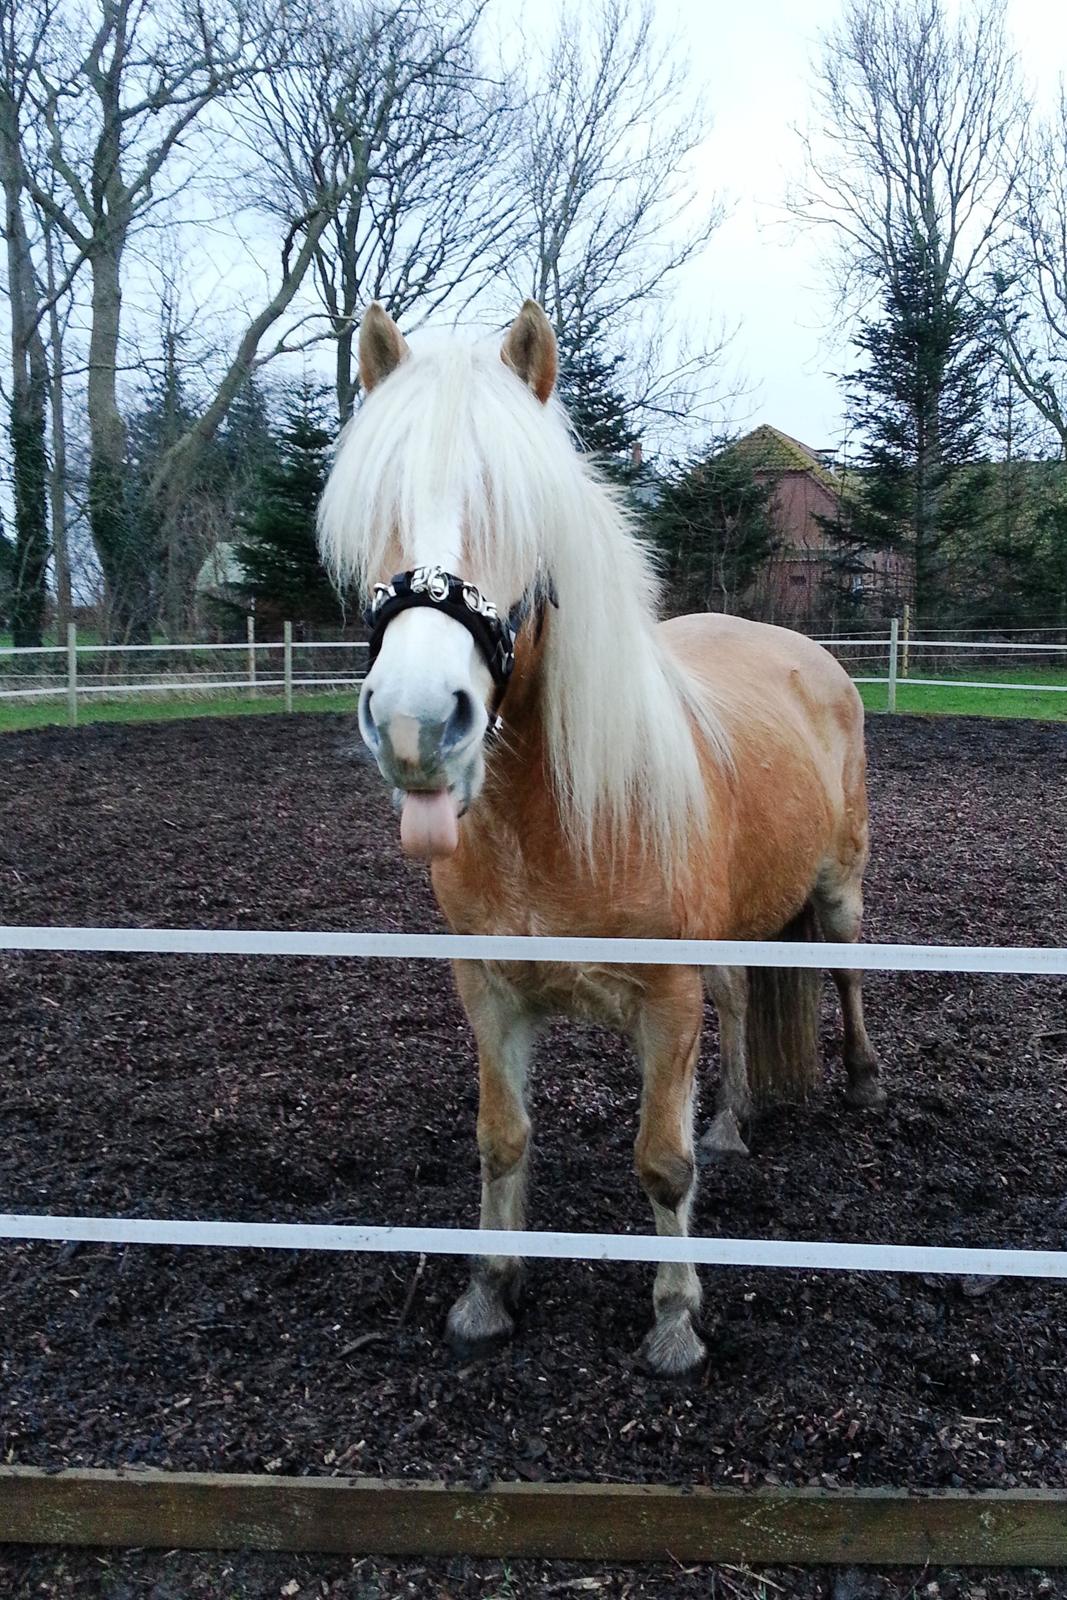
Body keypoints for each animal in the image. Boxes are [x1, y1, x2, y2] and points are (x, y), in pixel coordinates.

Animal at [319, 305, 883, 1382]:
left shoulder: (663, 1001)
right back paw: (734, 1119)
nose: (417, 724)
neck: (557, 822)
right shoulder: (491, 992)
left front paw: (674, 1320)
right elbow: (501, 1139)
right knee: (742, 1000)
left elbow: (660, 1163)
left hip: (835, 891)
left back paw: (867, 1080)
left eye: (519, 515)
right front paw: (488, 1294)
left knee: (841, 971)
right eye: (378, 508)